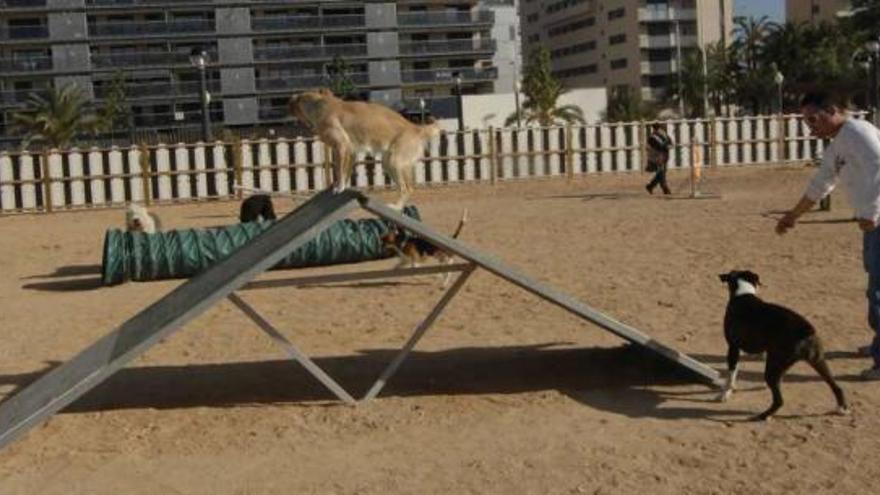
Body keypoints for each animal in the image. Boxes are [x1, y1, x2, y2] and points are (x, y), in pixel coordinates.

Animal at [288, 89, 440, 209]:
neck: (319, 106)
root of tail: (417, 128)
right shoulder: (349, 151)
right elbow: (343, 171)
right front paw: (341, 186)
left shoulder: (342, 146)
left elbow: (340, 171)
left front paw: (339, 187)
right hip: (388, 163)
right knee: (408, 187)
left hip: (394, 162)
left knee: (407, 188)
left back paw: (396, 207)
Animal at [720, 270, 848, 420]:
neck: (743, 293)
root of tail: (805, 330)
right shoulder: (764, 350)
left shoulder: (733, 347)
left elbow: (730, 374)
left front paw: (724, 394)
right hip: (818, 361)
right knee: (836, 386)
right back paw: (842, 409)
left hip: (774, 369)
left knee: (779, 400)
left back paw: (763, 416)